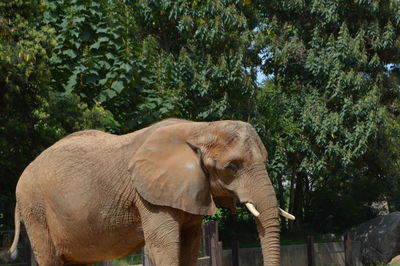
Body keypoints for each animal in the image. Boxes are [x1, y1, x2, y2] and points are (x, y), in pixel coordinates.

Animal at [0, 119, 294, 266]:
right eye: (232, 166)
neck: (200, 127)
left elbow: (189, 246)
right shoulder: (149, 197)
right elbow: (165, 247)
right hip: (35, 208)